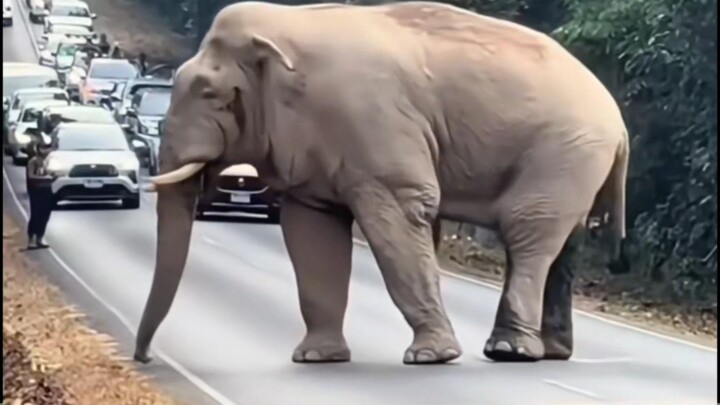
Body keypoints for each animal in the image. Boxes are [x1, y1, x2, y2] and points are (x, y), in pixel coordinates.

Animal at [133, 1, 630, 365]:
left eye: (210, 95)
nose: (145, 358)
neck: (289, 22)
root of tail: (619, 121)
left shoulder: (373, 125)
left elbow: (398, 216)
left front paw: (430, 357)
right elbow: (311, 231)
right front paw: (317, 358)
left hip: (564, 152)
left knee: (528, 235)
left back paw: (510, 351)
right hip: (575, 161)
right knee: (565, 246)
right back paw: (552, 352)